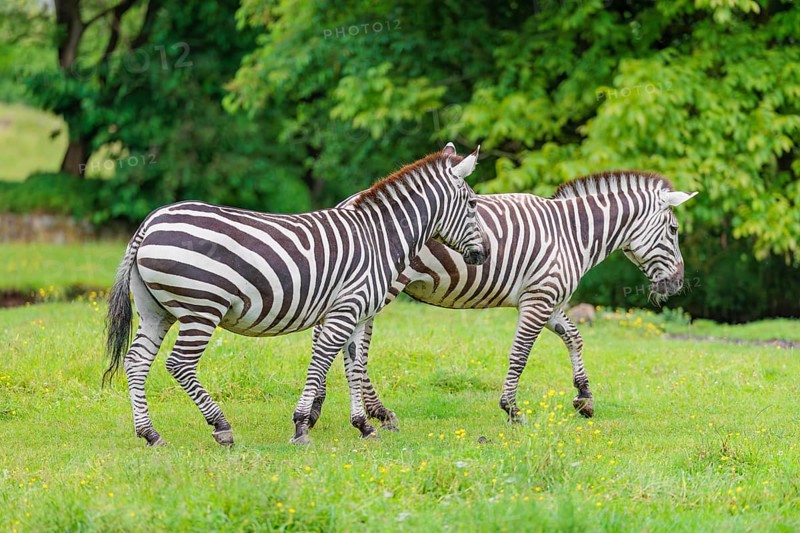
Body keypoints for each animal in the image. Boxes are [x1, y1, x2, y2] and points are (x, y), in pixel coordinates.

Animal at [103, 143, 489, 446]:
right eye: (472, 204)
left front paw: (363, 426)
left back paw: (150, 434)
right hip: (202, 308)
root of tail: (150, 222)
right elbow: (322, 361)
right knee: (179, 364)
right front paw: (302, 425)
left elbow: (353, 368)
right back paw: (221, 426)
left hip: (156, 311)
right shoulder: (346, 308)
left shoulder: (358, 314)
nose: (484, 254)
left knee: (136, 362)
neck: (379, 237)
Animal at [307, 168, 697, 430]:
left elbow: (574, 337)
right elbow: (520, 354)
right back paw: (362, 411)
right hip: (378, 288)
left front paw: (584, 398)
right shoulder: (538, 299)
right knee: (343, 344)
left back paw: (335, 408)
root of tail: (348, 203)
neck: (572, 234)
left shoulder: (548, 300)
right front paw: (511, 408)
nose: (678, 284)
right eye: (674, 230)